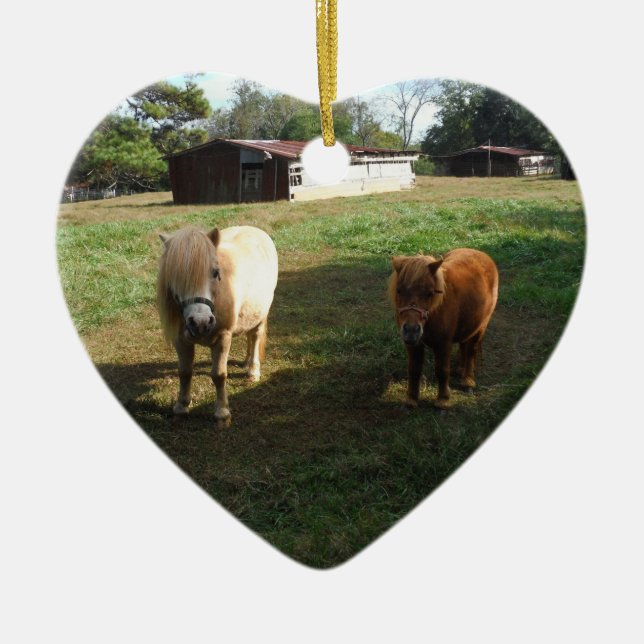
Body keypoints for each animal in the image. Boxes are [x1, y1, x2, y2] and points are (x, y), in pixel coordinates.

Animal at [157, 225, 278, 429]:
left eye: (215, 272)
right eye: (175, 277)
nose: (200, 322)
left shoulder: (223, 338)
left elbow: (219, 375)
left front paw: (222, 414)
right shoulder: (180, 340)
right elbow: (184, 372)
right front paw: (181, 408)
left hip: (262, 315)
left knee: (255, 337)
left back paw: (253, 370)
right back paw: (246, 362)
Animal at [388, 248, 498, 410]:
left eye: (430, 292)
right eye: (399, 290)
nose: (411, 330)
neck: (434, 312)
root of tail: (481, 253)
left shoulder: (444, 344)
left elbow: (442, 370)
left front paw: (443, 400)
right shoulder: (413, 344)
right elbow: (414, 369)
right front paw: (411, 399)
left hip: (481, 326)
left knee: (472, 350)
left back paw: (468, 381)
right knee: (464, 345)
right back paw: (461, 369)